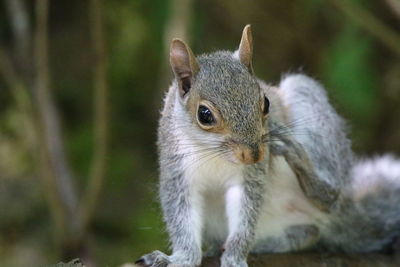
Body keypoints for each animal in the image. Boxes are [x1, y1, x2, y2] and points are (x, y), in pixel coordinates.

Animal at [136, 25, 400, 267]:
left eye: (265, 102)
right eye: (204, 115)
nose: (254, 154)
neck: (214, 154)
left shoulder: (251, 175)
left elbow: (245, 215)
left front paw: (234, 259)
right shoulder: (177, 170)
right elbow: (182, 218)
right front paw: (180, 258)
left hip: (311, 109)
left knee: (330, 197)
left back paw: (304, 168)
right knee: (309, 232)